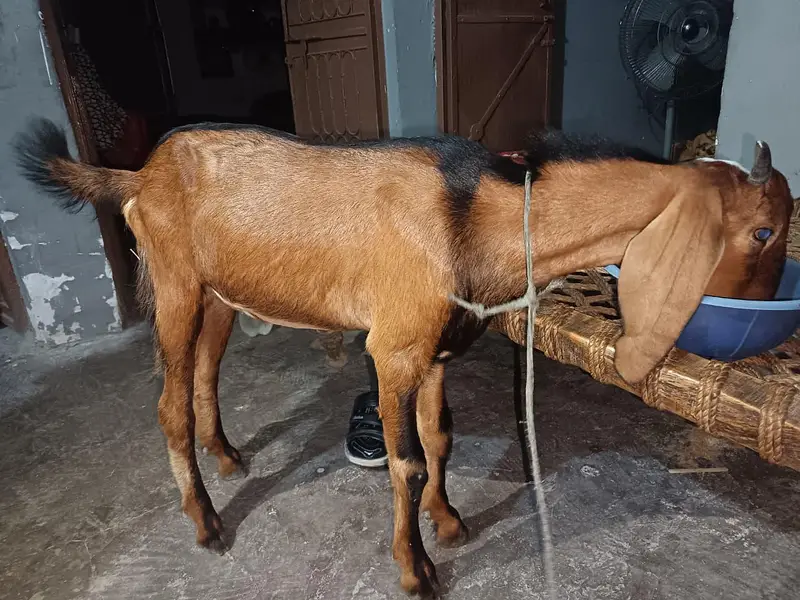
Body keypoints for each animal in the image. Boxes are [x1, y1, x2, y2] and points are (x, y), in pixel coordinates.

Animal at [14, 119, 795, 596]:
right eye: (763, 232)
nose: (772, 330)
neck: (474, 213)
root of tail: (138, 175)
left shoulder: (439, 353)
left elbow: (440, 439)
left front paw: (448, 523)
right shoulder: (393, 350)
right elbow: (407, 461)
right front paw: (416, 570)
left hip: (219, 295)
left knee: (206, 370)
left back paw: (229, 456)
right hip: (174, 284)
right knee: (168, 402)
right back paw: (206, 522)